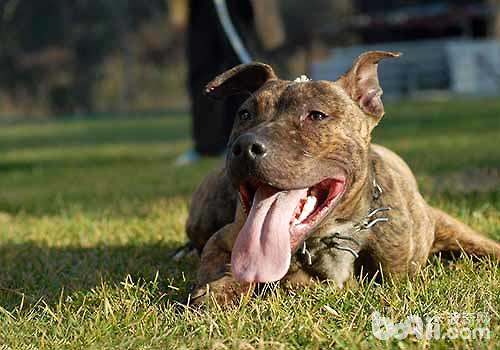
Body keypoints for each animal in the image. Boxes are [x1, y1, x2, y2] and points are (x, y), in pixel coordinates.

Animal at [185, 50, 500, 304]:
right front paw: (219, 292)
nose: (245, 147)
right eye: (244, 114)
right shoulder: (225, 239)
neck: (334, 234)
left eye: (316, 115)